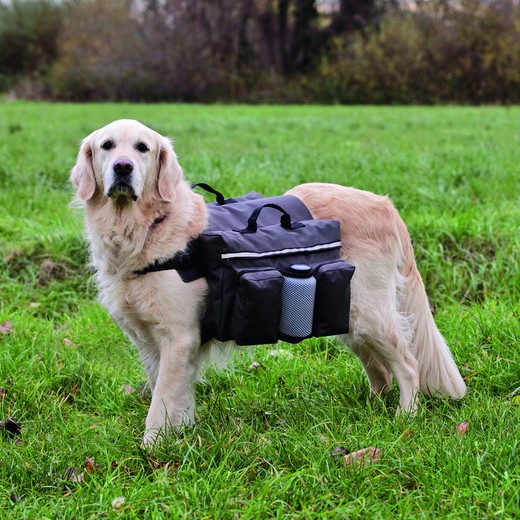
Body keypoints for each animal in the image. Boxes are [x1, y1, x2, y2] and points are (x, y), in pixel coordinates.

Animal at [70, 120, 468, 444]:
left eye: (142, 148)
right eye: (107, 146)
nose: (123, 167)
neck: (145, 231)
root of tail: (386, 204)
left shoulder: (179, 338)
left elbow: (162, 403)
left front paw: (152, 449)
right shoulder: (149, 343)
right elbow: (169, 395)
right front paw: (181, 434)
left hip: (369, 313)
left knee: (408, 363)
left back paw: (405, 417)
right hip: (348, 316)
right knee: (380, 369)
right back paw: (372, 408)